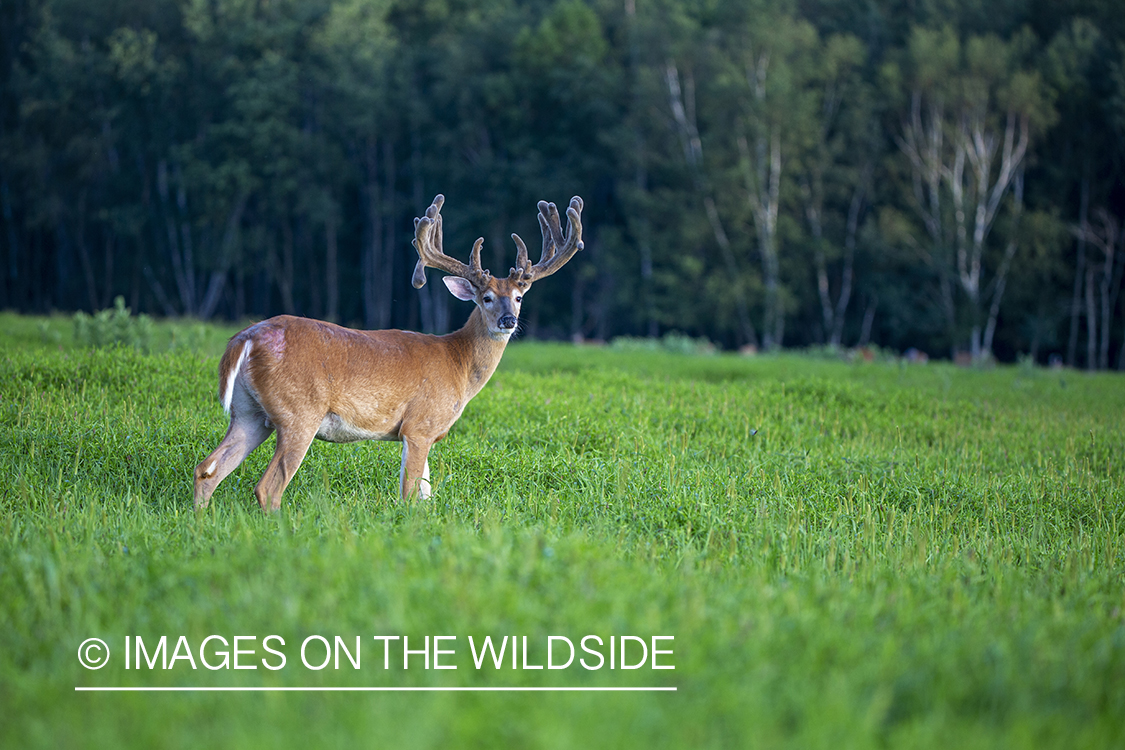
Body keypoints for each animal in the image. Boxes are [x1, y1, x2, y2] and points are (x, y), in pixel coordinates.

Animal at [192, 193, 585, 512]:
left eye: (518, 297)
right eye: (486, 298)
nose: (508, 320)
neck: (458, 363)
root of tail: (245, 339)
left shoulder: (421, 432)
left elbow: (426, 493)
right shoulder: (420, 424)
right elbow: (410, 494)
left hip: (249, 412)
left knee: (207, 469)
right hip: (298, 412)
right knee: (267, 487)